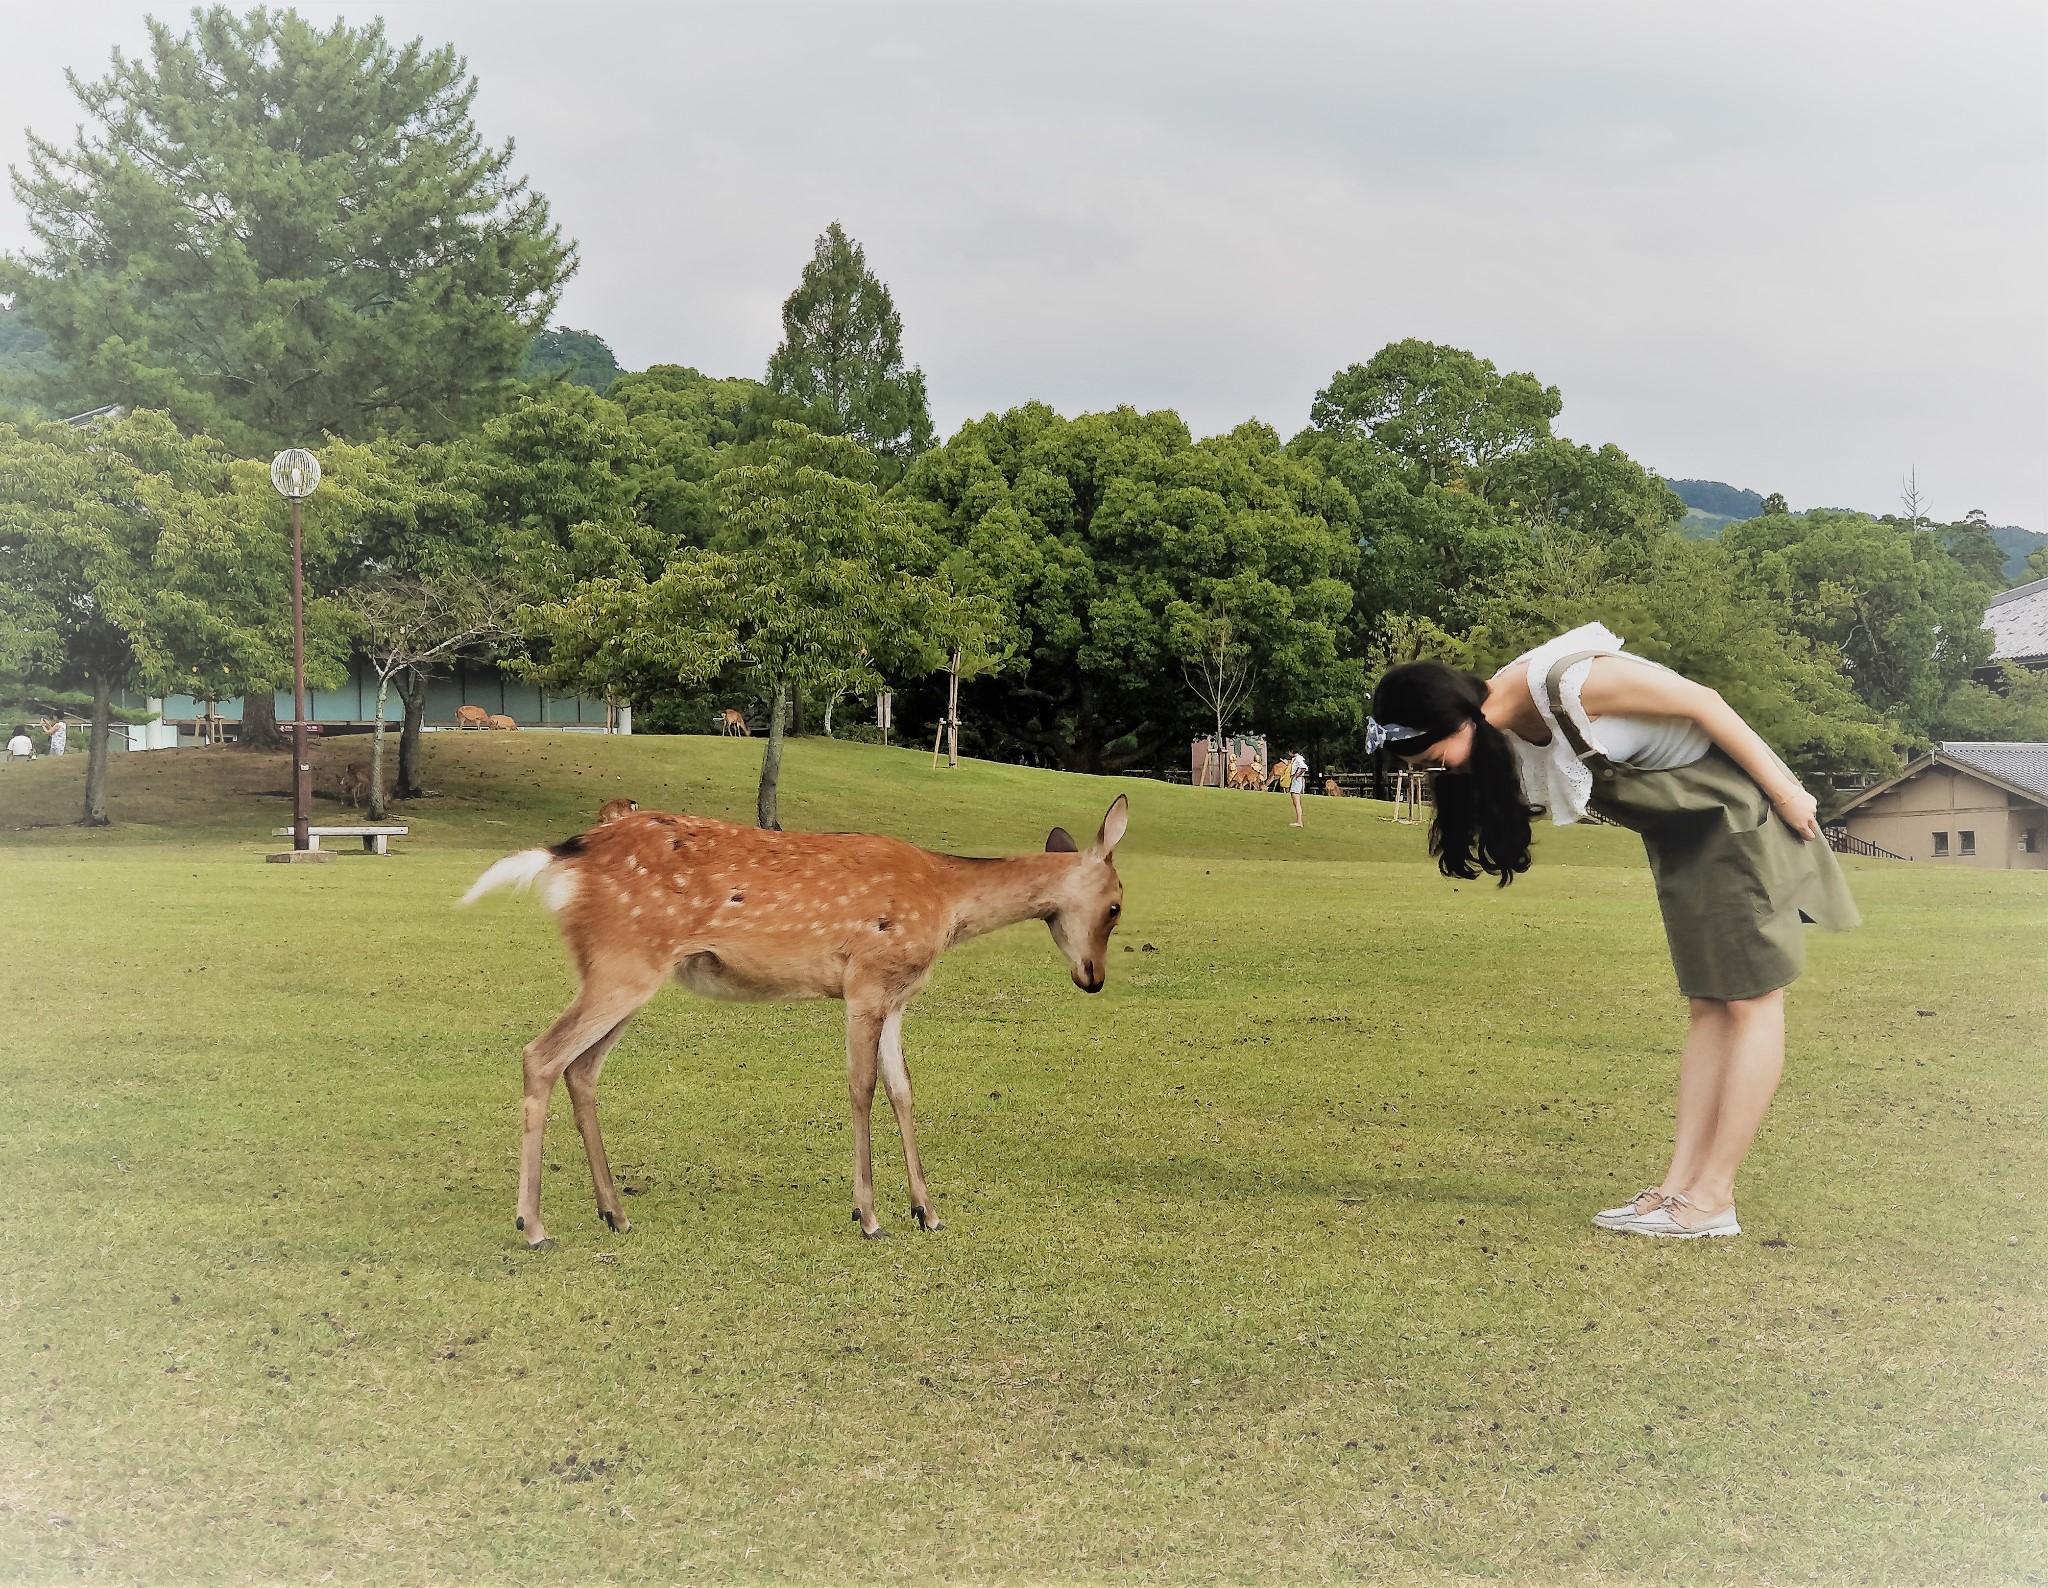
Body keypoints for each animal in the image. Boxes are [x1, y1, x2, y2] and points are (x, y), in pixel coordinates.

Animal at [462, 795, 1130, 1254]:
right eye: (1118, 906)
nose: (1094, 977)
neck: (948, 902)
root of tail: (559, 858)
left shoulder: (898, 996)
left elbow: (903, 1091)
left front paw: (928, 1210)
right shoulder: (865, 980)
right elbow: (862, 1089)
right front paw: (870, 1216)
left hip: (627, 973)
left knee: (580, 1068)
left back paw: (615, 1213)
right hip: (622, 963)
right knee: (541, 1055)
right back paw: (534, 1226)